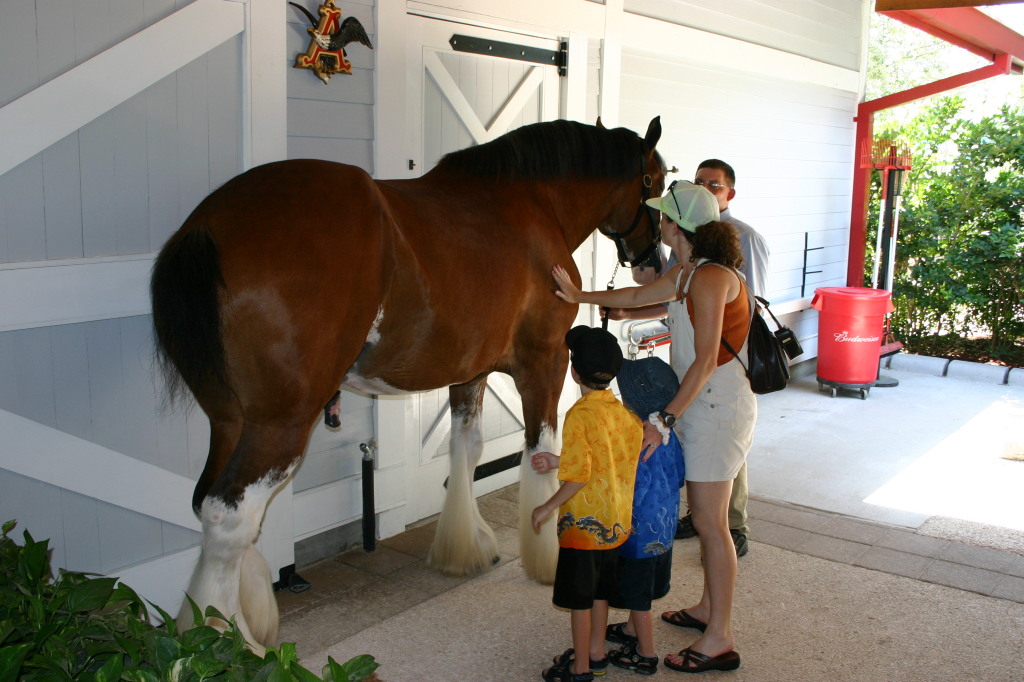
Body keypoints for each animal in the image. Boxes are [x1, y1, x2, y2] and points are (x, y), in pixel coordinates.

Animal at [150, 116, 666, 651]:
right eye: (656, 183)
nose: (652, 260)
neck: (531, 203)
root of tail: (207, 226)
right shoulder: (543, 363)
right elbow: (543, 454)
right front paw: (549, 558)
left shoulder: (470, 373)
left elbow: (466, 451)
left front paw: (465, 548)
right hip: (280, 421)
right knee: (230, 516)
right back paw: (229, 641)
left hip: (228, 418)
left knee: (209, 506)